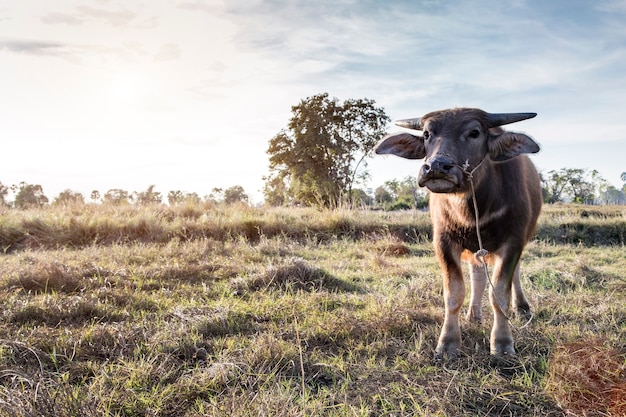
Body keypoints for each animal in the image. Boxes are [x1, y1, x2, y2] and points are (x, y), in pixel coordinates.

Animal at [372, 107, 540, 358]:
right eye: (426, 134)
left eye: (474, 132)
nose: (436, 167)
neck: (472, 211)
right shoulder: (444, 242)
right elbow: (454, 294)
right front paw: (448, 343)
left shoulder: (513, 242)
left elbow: (500, 294)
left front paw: (502, 343)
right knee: (478, 275)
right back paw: (474, 314)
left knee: (515, 274)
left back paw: (522, 307)